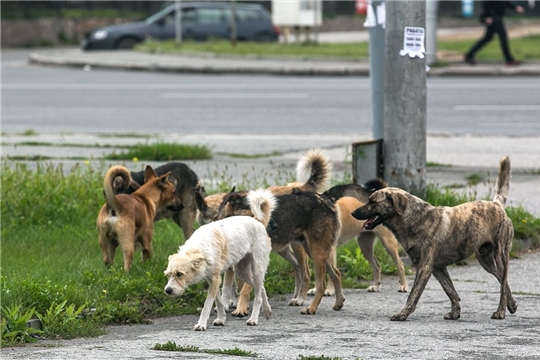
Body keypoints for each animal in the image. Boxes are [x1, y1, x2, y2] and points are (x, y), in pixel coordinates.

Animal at [163, 188, 274, 332]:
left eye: (180, 274)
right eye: (168, 275)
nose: (168, 290)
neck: (199, 248)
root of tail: (258, 222)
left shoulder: (215, 280)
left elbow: (207, 305)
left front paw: (201, 324)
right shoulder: (212, 280)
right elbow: (219, 301)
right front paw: (221, 319)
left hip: (257, 268)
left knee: (258, 296)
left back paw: (253, 319)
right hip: (242, 271)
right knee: (260, 289)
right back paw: (267, 311)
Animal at [215, 188, 342, 316]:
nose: (275, 226)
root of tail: (327, 200)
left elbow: (244, 289)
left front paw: (241, 308)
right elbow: (228, 287)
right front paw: (227, 306)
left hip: (315, 251)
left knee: (319, 283)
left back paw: (310, 307)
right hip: (314, 251)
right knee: (336, 273)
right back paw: (338, 302)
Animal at [352, 157, 516, 320]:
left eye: (372, 202)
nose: (353, 213)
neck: (414, 218)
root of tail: (496, 204)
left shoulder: (424, 268)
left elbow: (413, 294)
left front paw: (403, 314)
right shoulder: (438, 268)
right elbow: (450, 290)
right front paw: (455, 312)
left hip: (500, 256)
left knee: (503, 282)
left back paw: (500, 311)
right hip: (485, 260)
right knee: (503, 280)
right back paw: (512, 304)